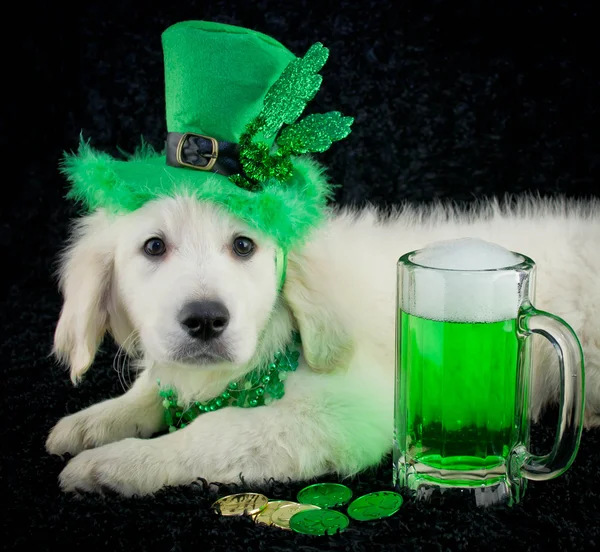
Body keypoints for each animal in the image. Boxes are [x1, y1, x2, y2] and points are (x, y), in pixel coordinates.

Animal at [47, 194, 600, 496]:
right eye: (154, 247)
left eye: (243, 245)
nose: (205, 320)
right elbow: (146, 393)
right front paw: (92, 423)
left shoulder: (348, 412)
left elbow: (216, 432)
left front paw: (120, 464)